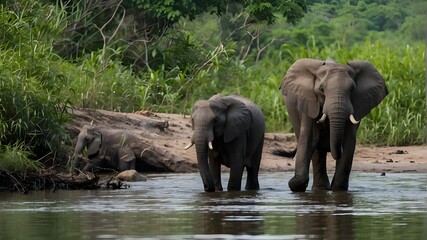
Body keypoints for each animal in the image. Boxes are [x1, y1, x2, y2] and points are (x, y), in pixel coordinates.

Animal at [280, 59, 390, 192]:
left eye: (352, 89)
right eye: (321, 89)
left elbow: (348, 143)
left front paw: (339, 190)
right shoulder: (309, 102)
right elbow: (308, 140)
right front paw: (294, 183)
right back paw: (320, 189)